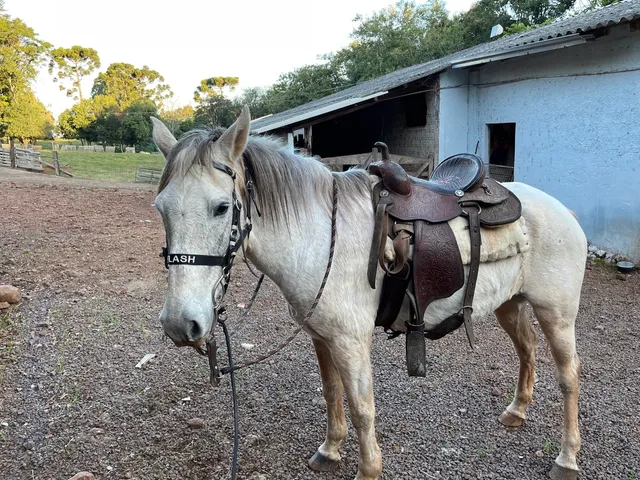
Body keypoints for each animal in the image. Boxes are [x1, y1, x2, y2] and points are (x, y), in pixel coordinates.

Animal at [150, 107, 587, 480]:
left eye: (222, 207)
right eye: (160, 208)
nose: (179, 324)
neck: (323, 237)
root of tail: (564, 210)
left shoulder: (351, 340)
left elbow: (362, 407)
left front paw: (367, 468)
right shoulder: (322, 336)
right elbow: (332, 393)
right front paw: (329, 450)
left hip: (557, 313)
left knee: (568, 375)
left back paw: (566, 458)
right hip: (510, 304)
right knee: (527, 348)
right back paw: (517, 411)